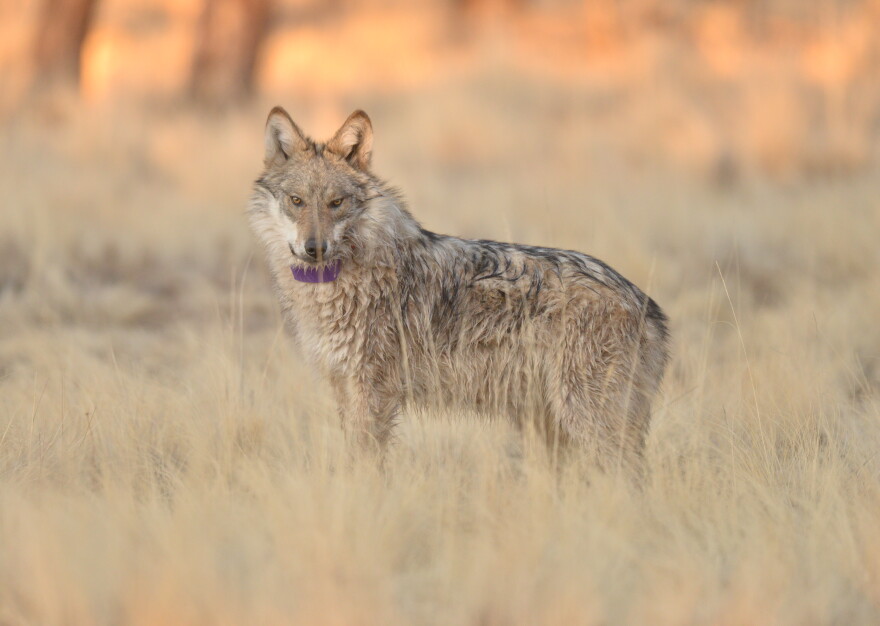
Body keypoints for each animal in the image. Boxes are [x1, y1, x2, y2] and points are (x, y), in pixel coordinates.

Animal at [249, 107, 669, 469]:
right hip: (549, 423)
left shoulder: (373, 390)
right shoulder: (343, 386)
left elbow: (365, 464)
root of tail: (648, 305)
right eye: (297, 201)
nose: (314, 248)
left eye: (336, 203)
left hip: (585, 419)